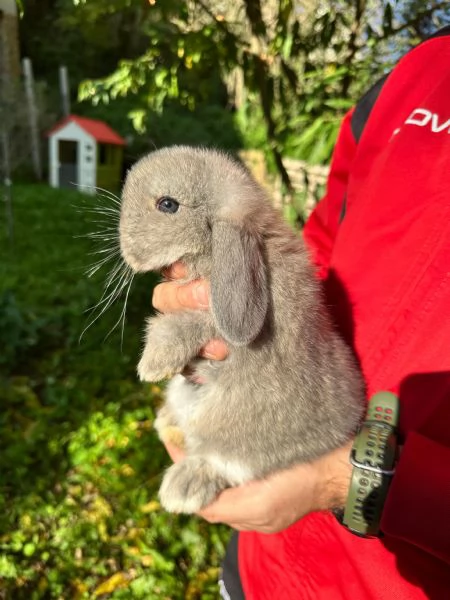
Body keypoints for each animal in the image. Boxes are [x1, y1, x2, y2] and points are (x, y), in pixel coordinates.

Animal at [119, 146, 366, 516]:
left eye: (168, 204)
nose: (126, 250)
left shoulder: (216, 318)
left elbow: (185, 324)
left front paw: (152, 365)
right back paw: (168, 423)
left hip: (241, 424)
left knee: (231, 461)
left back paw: (184, 485)